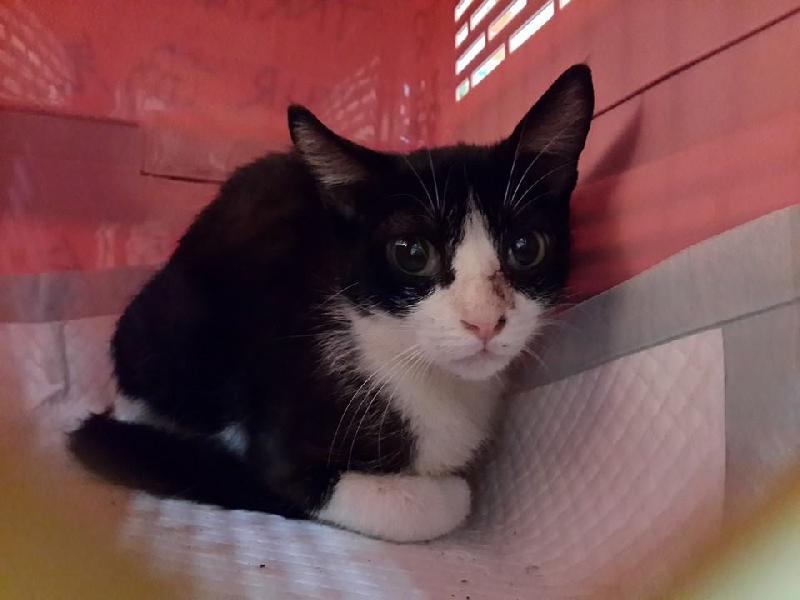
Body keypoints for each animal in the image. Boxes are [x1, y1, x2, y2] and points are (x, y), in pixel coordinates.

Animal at [69, 64, 594, 542]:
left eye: (526, 247)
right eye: (412, 254)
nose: (484, 322)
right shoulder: (281, 445)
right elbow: (435, 502)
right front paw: (445, 491)